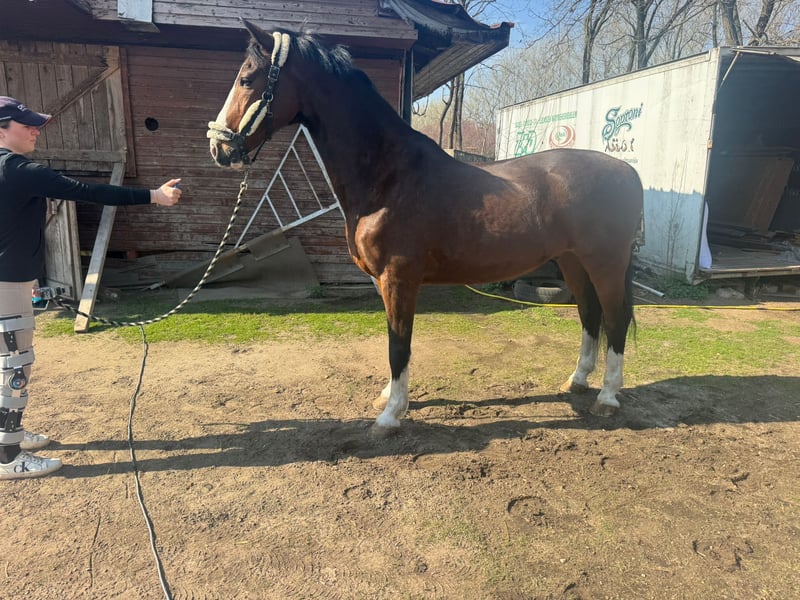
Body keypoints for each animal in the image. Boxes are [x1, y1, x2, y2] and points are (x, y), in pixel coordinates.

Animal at [208, 20, 644, 430]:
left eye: (247, 79)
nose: (219, 147)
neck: (388, 176)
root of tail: (627, 171)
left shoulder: (399, 277)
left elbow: (398, 343)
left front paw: (391, 416)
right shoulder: (385, 281)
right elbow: (394, 338)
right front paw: (389, 398)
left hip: (605, 262)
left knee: (615, 318)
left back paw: (607, 397)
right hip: (573, 261)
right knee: (589, 314)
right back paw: (577, 381)